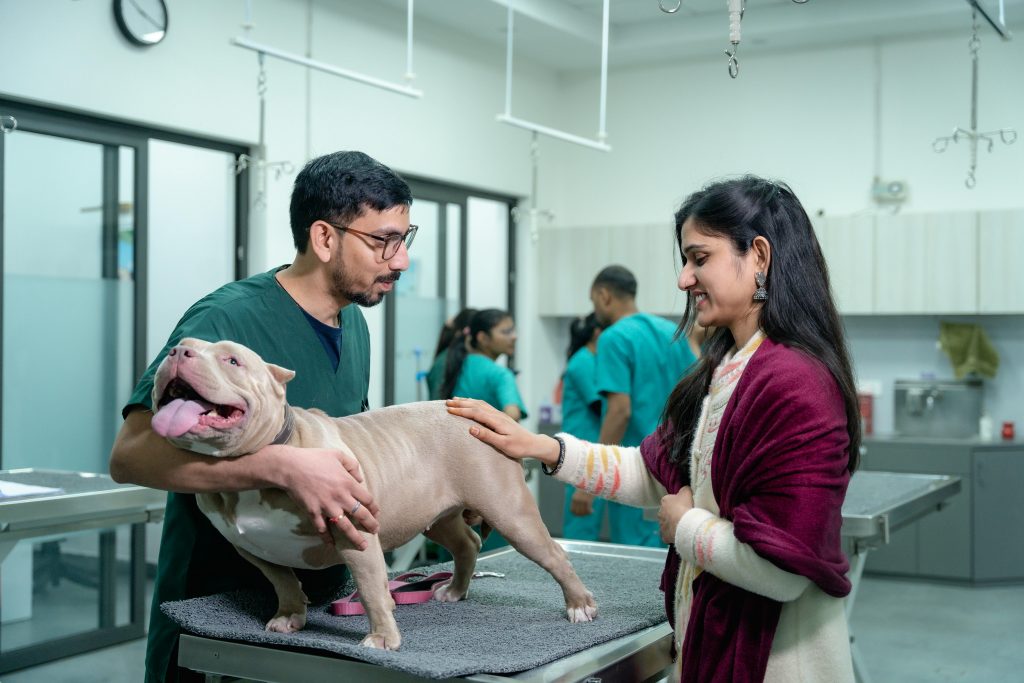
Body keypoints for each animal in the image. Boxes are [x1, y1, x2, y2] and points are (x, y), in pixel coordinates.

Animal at [151, 339, 598, 651]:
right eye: (181, 345)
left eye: (232, 360)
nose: (178, 349)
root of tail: (485, 415)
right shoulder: (252, 547)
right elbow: (283, 581)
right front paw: (290, 615)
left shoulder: (356, 534)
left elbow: (369, 590)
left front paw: (383, 638)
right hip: (436, 517)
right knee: (467, 543)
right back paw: (455, 589)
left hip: (510, 512)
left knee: (554, 555)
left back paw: (579, 605)